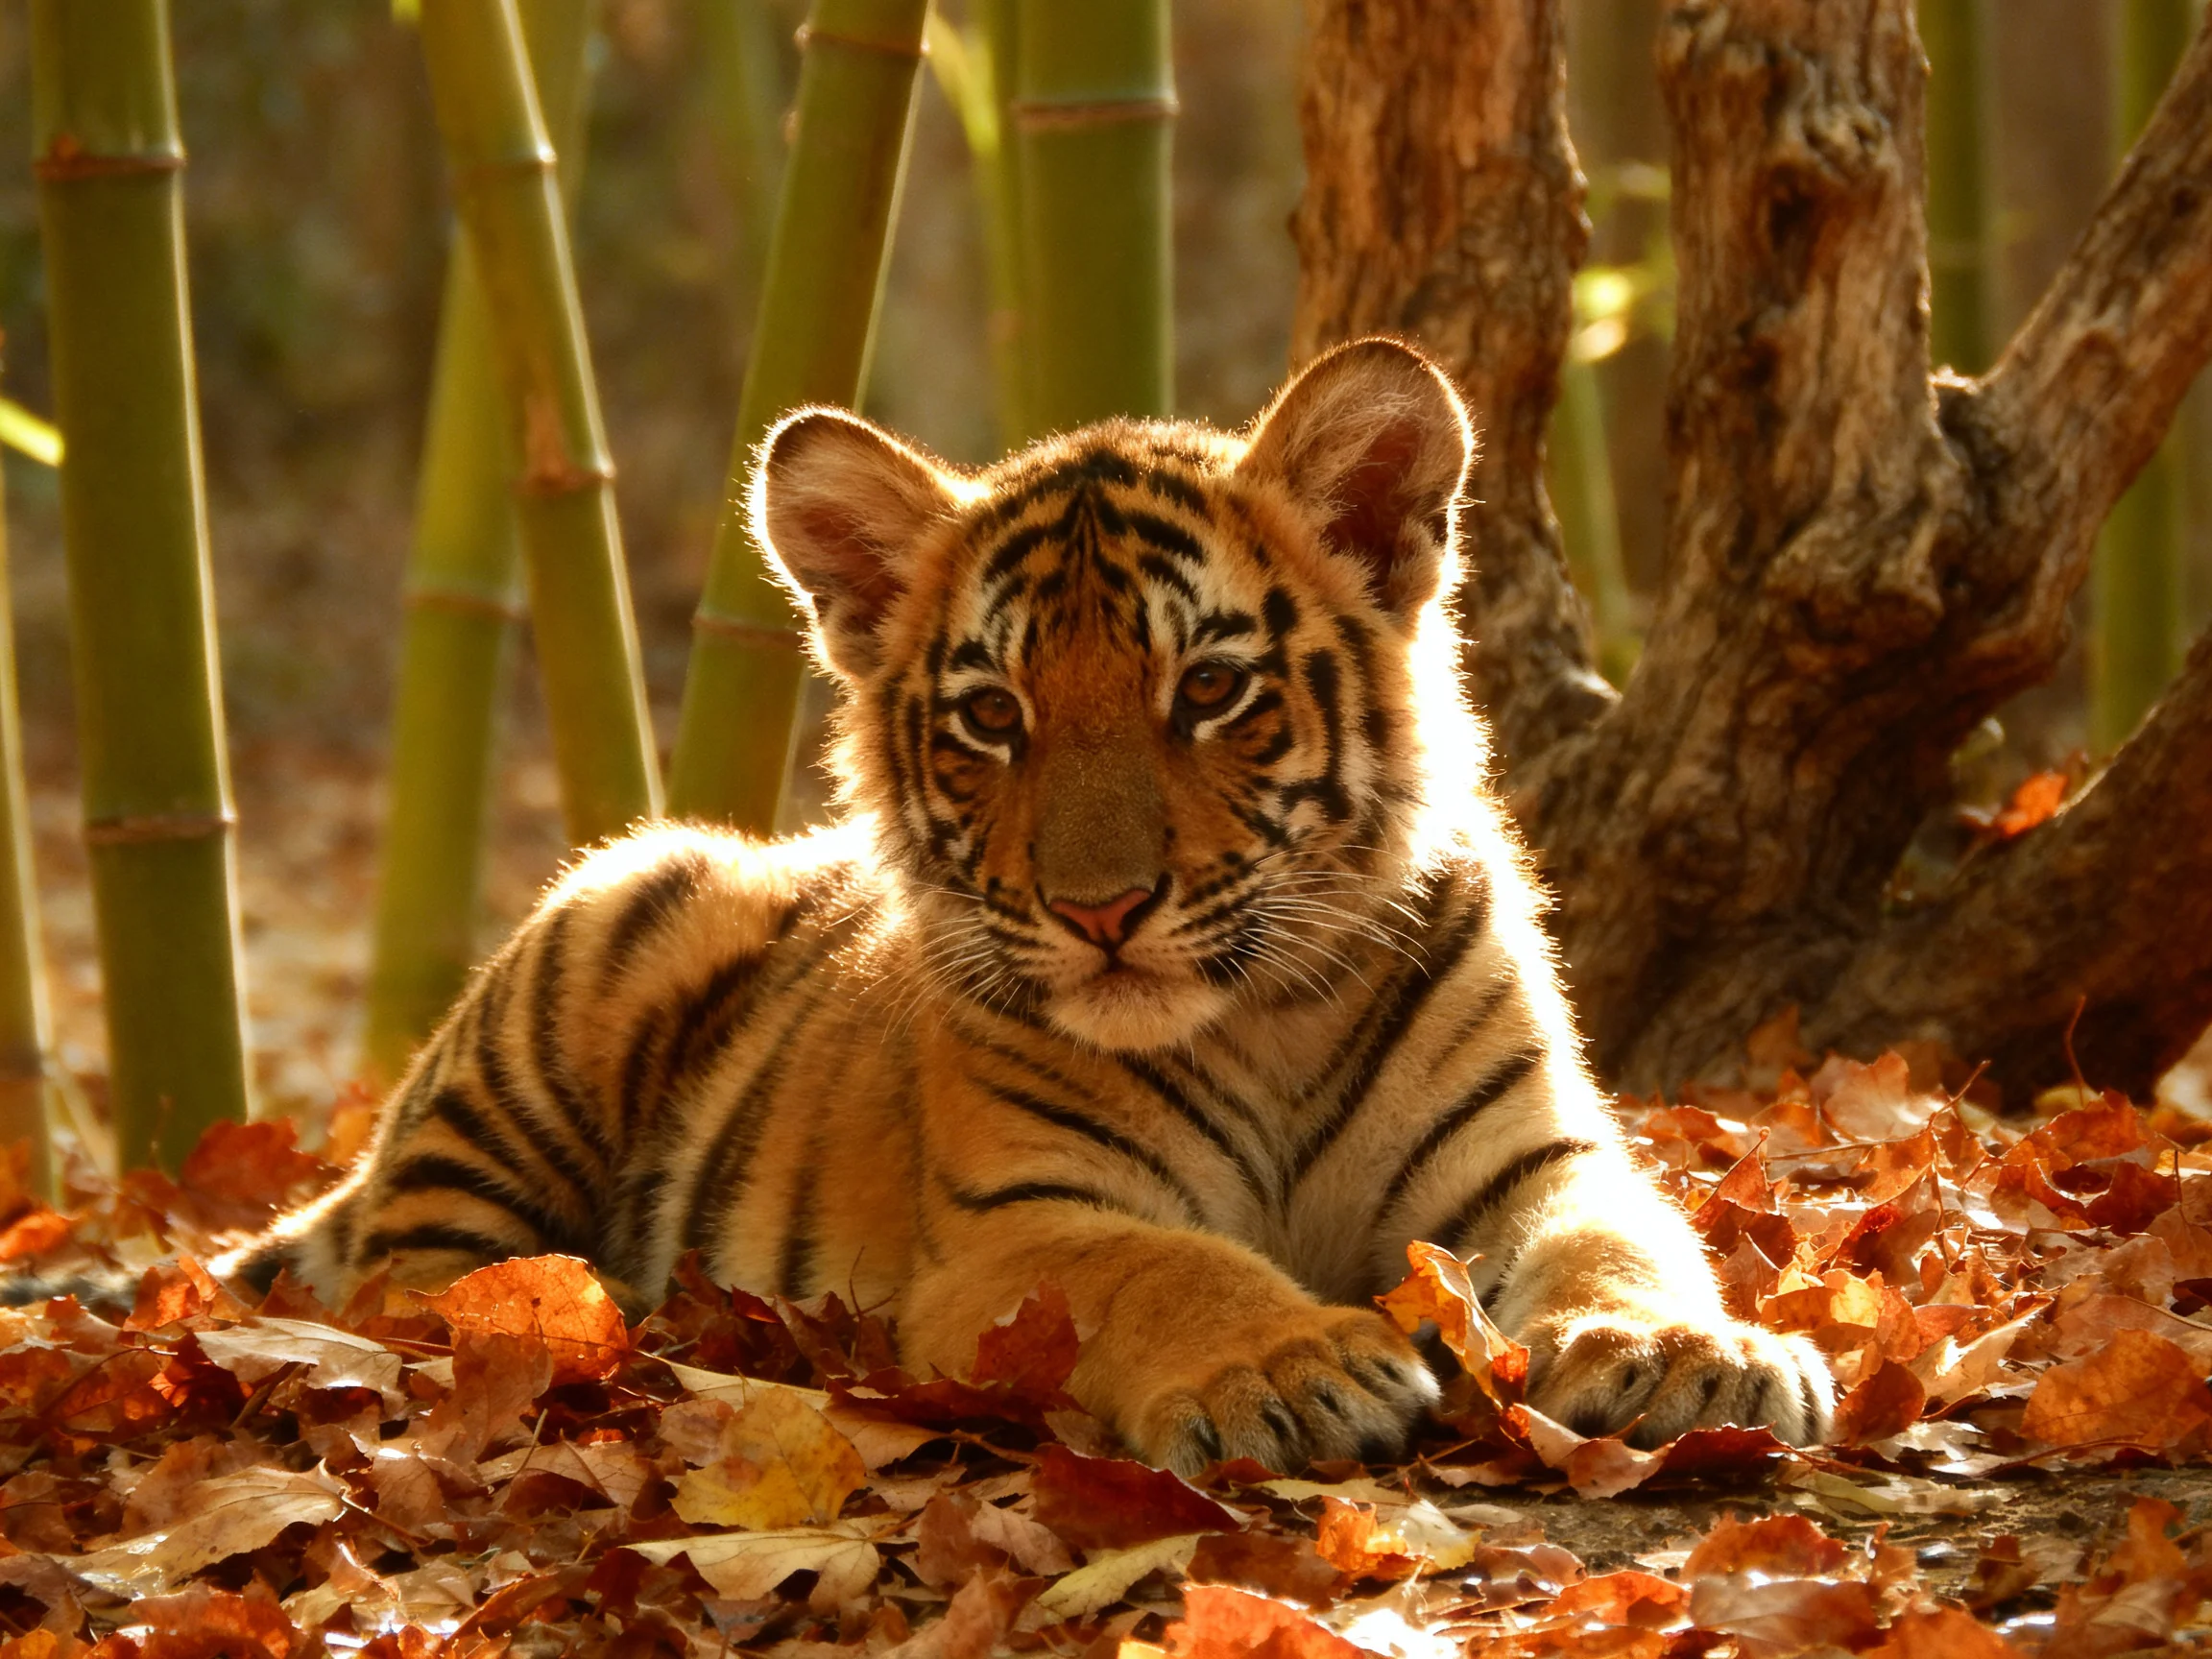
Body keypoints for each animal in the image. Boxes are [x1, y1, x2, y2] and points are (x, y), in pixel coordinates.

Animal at [184, 337, 1826, 1471]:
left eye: (1209, 690)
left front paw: (1690, 1352)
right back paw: (575, 1320)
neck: (1267, 1026)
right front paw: (1289, 1367)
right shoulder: (1024, 1226)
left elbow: (1623, 1238)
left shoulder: (1532, 1156)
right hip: (620, 916)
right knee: (416, 1287)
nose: (1102, 910)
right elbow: (1168, 1265)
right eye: (991, 717)